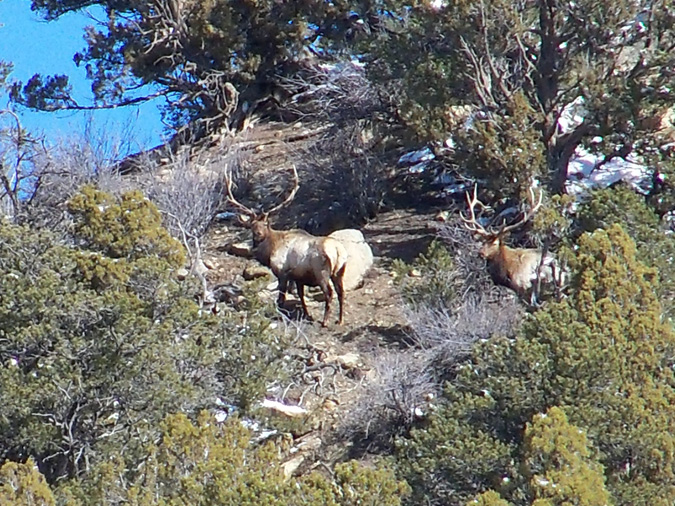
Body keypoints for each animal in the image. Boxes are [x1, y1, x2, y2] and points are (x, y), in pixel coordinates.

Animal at [225, 166, 348, 327]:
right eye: (252, 225)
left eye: (266, 224)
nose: (258, 234)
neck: (270, 250)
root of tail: (338, 251)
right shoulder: (298, 277)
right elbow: (301, 296)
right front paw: (307, 315)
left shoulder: (282, 272)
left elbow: (281, 299)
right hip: (339, 271)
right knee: (341, 292)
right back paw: (340, 320)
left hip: (322, 271)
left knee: (329, 293)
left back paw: (325, 321)